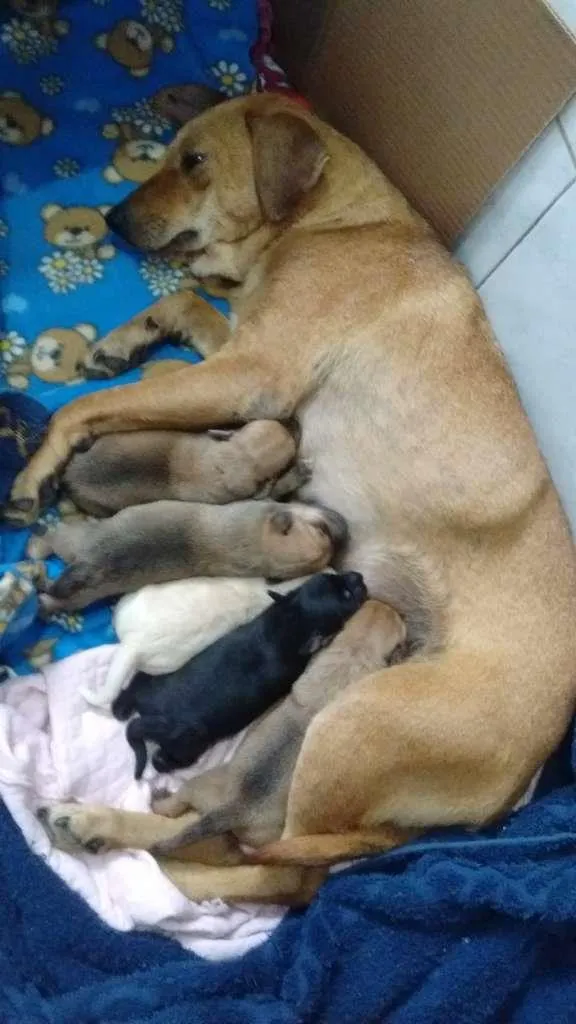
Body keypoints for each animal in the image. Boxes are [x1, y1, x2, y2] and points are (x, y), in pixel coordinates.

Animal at [29, 499, 342, 610]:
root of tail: (93, 566)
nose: (342, 531)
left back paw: (36, 548)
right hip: (83, 593)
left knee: (52, 541)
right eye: (321, 531)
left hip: (74, 541)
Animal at [111, 573, 366, 778]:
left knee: (133, 686)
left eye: (338, 579)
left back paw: (121, 707)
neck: (292, 621)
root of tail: (154, 716)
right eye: (346, 595)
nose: (359, 576)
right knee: (165, 760)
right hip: (188, 745)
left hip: (154, 681)